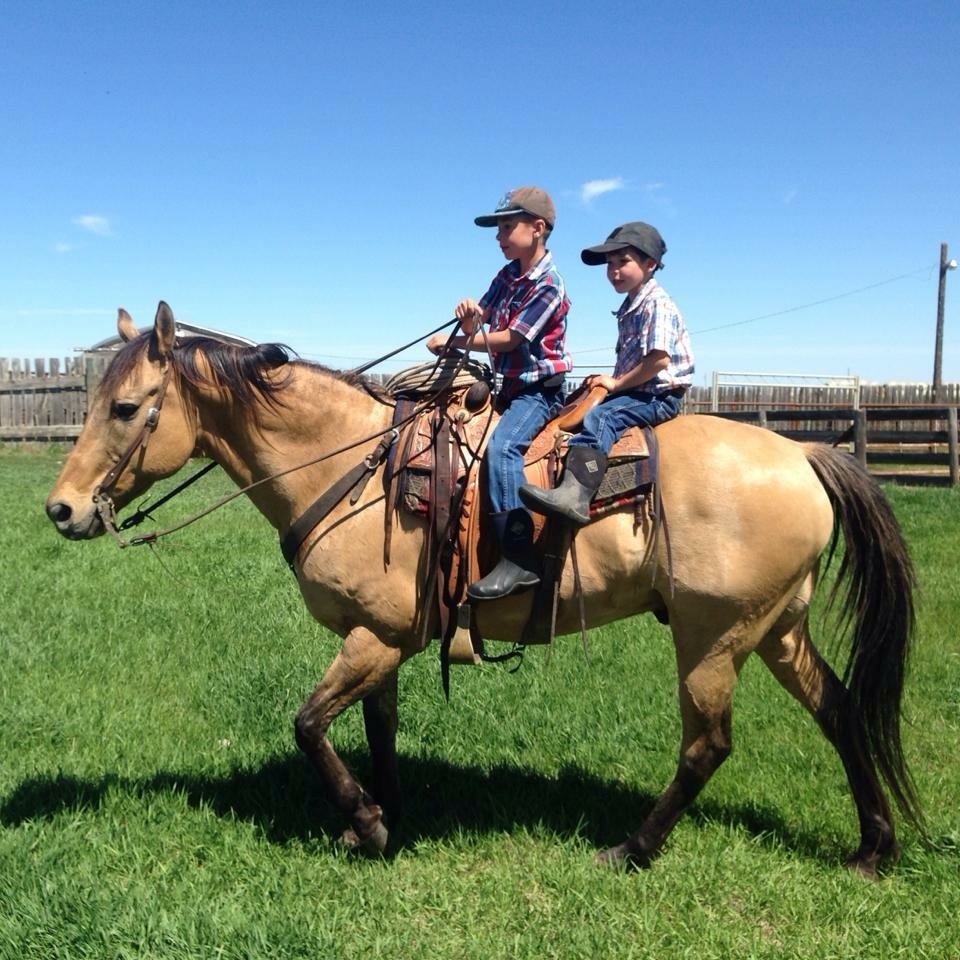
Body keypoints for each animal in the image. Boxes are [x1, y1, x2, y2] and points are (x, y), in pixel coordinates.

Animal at [45, 302, 922, 875]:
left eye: (127, 407)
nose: (62, 510)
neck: (348, 465)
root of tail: (803, 453)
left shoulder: (379, 636)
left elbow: (307, 724)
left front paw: (366, 824)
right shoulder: (379, 639)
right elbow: (378, 729)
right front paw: (386, 813)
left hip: (713, 638)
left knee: (707, 745)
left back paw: (632, 848)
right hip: (776, 627)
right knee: (840, 710)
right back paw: (872, 847)